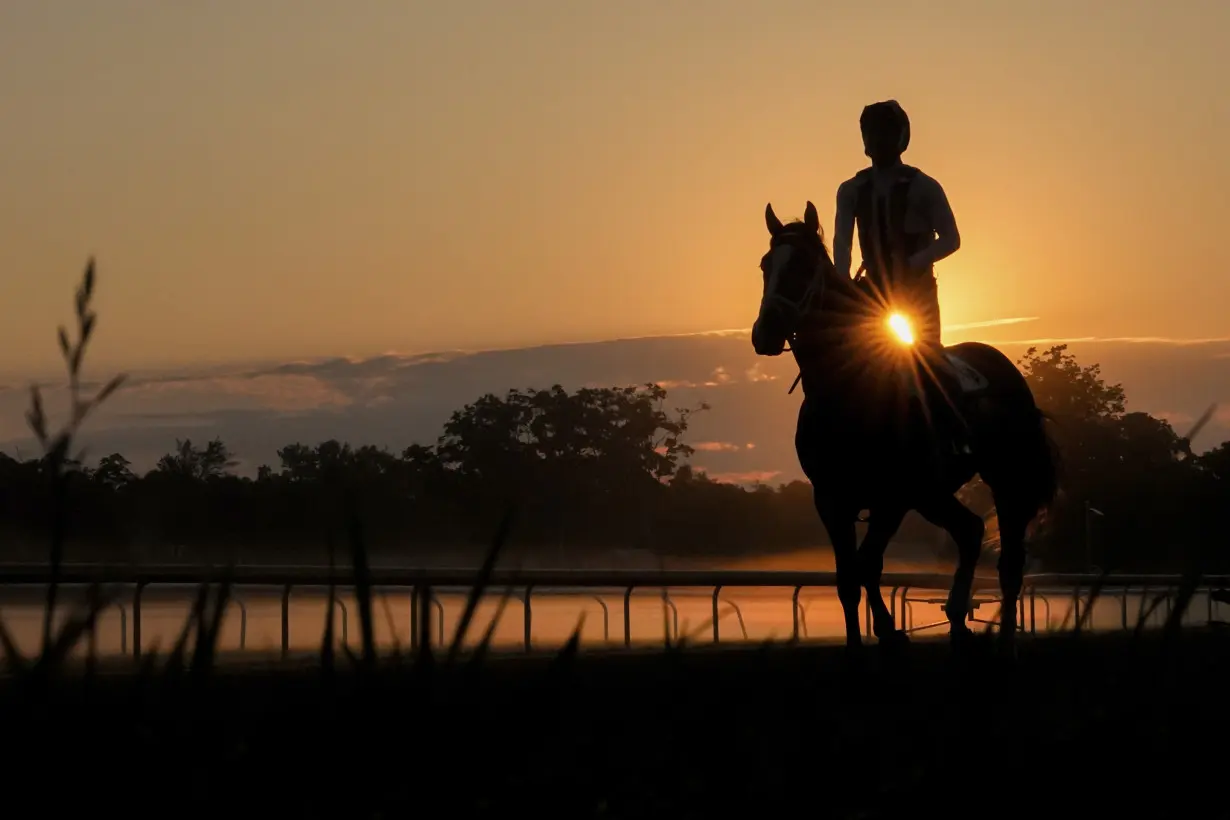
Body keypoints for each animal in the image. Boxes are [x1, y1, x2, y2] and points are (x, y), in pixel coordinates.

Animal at [747, 201, 1057, 658]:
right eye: (766, 264)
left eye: (802, 264)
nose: (765, 332)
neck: (846, 392)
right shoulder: (831, 499)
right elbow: (849, 578)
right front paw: (865, 641)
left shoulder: (892, 499)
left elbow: (867, 564)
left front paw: (889, 631)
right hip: (932, 493)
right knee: (970, 530)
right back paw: (957, 619)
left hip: (1003, 479)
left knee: (1010, 562)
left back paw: (1003, 642)